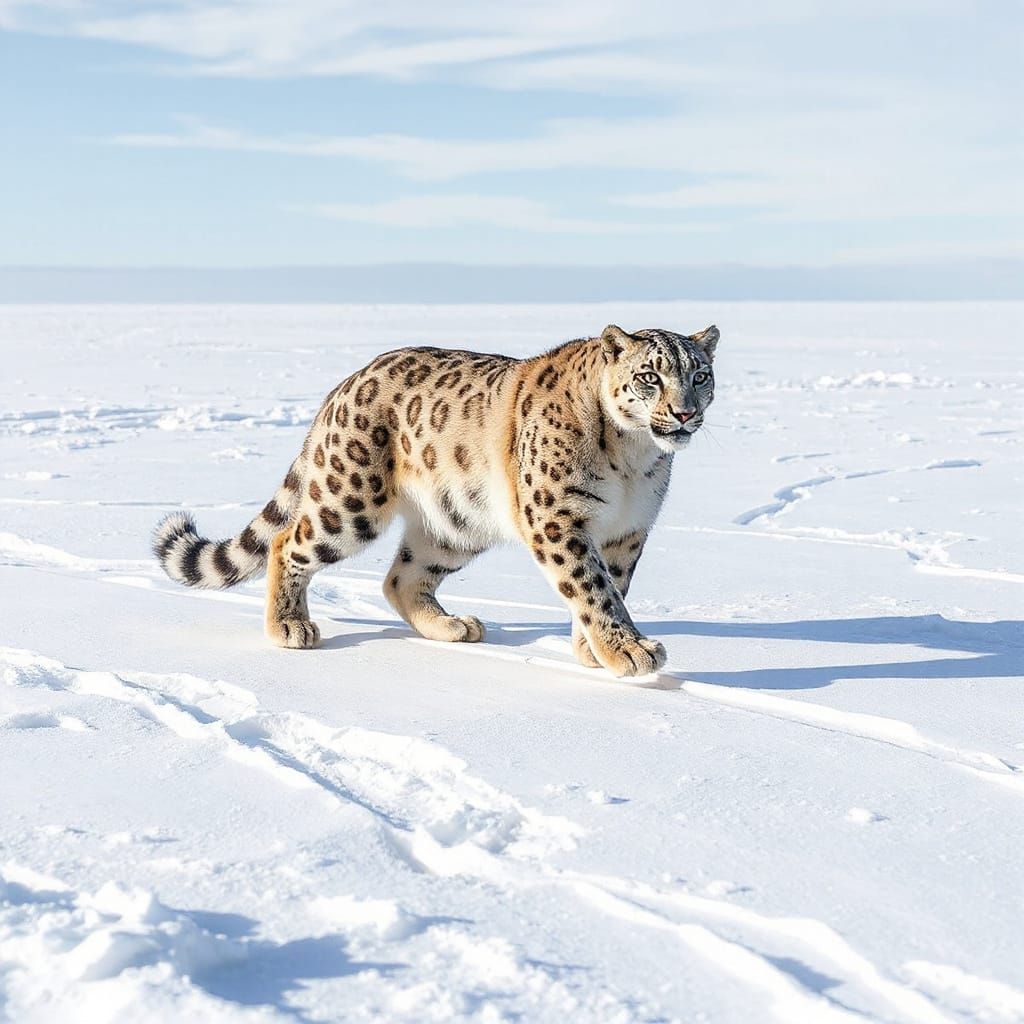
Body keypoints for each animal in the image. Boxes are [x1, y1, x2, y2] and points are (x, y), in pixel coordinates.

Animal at [153, 323, 719, 677]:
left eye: (700, 375)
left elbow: (611, 586)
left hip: (456, 523)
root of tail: (345, 384)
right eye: (649, 376)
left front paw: (594, 650)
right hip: (349, 499)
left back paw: (454, 626)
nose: (686, 412)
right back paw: (289, 626)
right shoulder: (559, 518)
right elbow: (592, 587)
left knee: (400, 577)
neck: (635, 457)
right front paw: (629, 651)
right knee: (288, 541)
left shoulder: (627, 531)